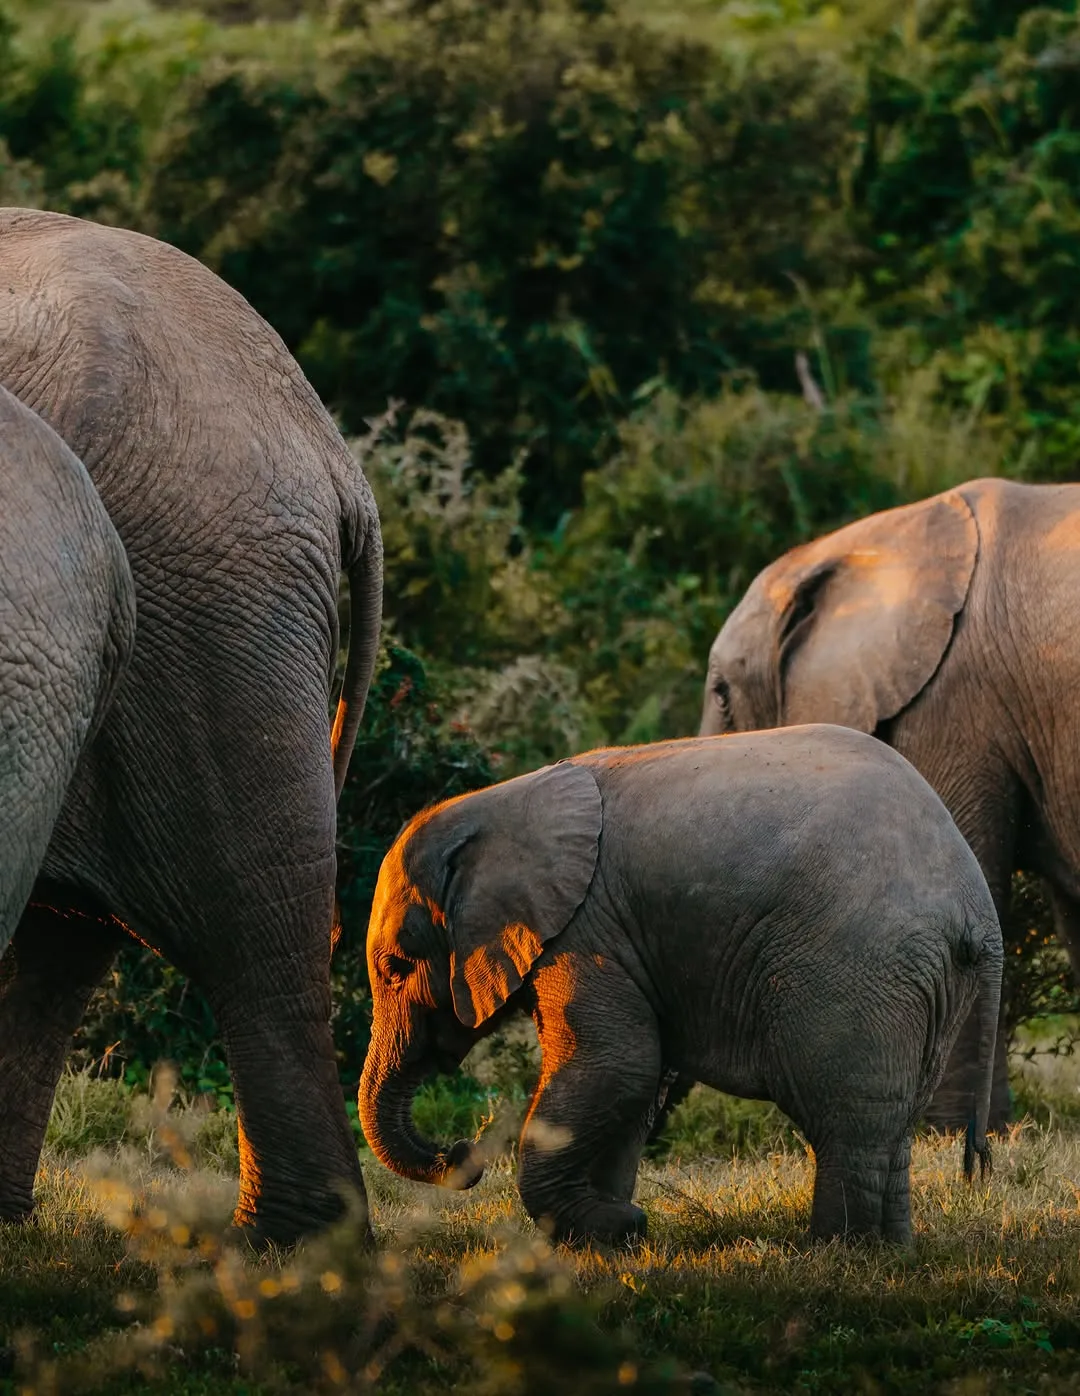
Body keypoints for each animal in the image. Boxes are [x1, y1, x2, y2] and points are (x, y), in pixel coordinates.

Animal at [358, 725, 1002, 1247]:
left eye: (395, 966)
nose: (462, 1151)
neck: (502, 801)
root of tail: (978, 908)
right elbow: (634, 1079)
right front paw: (609, 1234)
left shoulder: (587, 927)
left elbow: (617, 1064)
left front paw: (612, 1226)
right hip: (924, 983)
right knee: (893, 1122)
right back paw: (889, 1252)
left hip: (861, 965)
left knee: (847, 1117)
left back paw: (840, 1256)